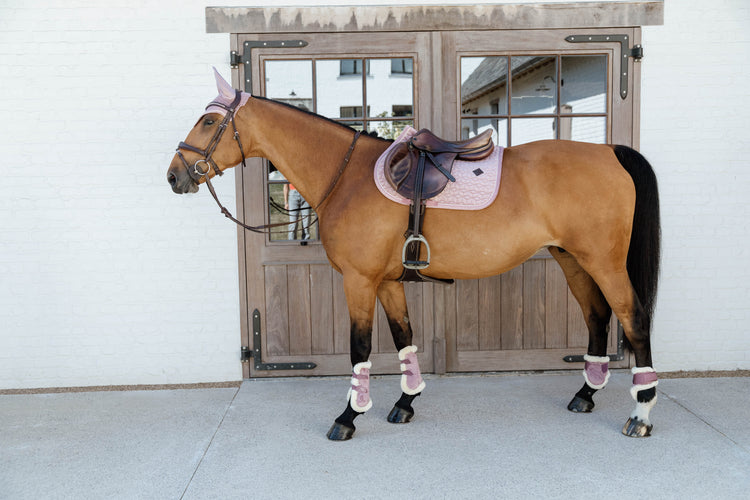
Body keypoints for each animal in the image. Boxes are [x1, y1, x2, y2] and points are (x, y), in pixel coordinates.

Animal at [167, 71, 660, 442]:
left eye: (208, 122)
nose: (174, 175)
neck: (348, 177)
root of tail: (610, 153)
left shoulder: (359, 280)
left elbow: (360, 347)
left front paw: (348, 417)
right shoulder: (386, 281)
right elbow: (404, 337)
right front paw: (406, 401)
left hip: (604, 263)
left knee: (632, 318)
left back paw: (640, 414)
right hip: (571, 259)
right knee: (597, 316)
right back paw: (586, 395)